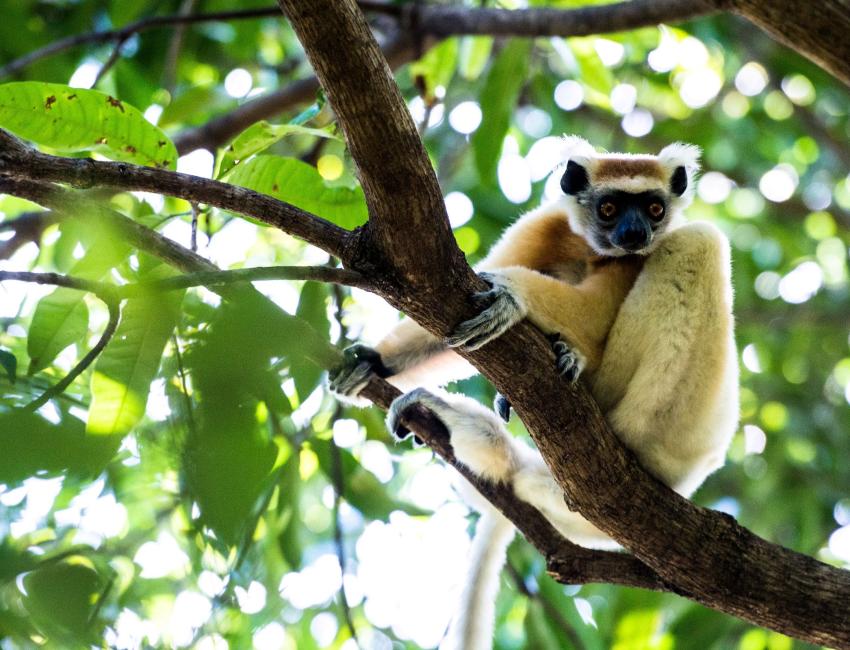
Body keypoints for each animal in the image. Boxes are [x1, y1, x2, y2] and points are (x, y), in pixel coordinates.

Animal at [329, 136, 739, 650]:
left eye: (654, 207)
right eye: (609, 208)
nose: (635, 234)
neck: (588, 245)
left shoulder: (632, 260)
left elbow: (591, 312)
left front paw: (511, 295)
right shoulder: (545, 225)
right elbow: (447, 305)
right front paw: (374, 361)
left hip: (677, 427)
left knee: (697, 243)